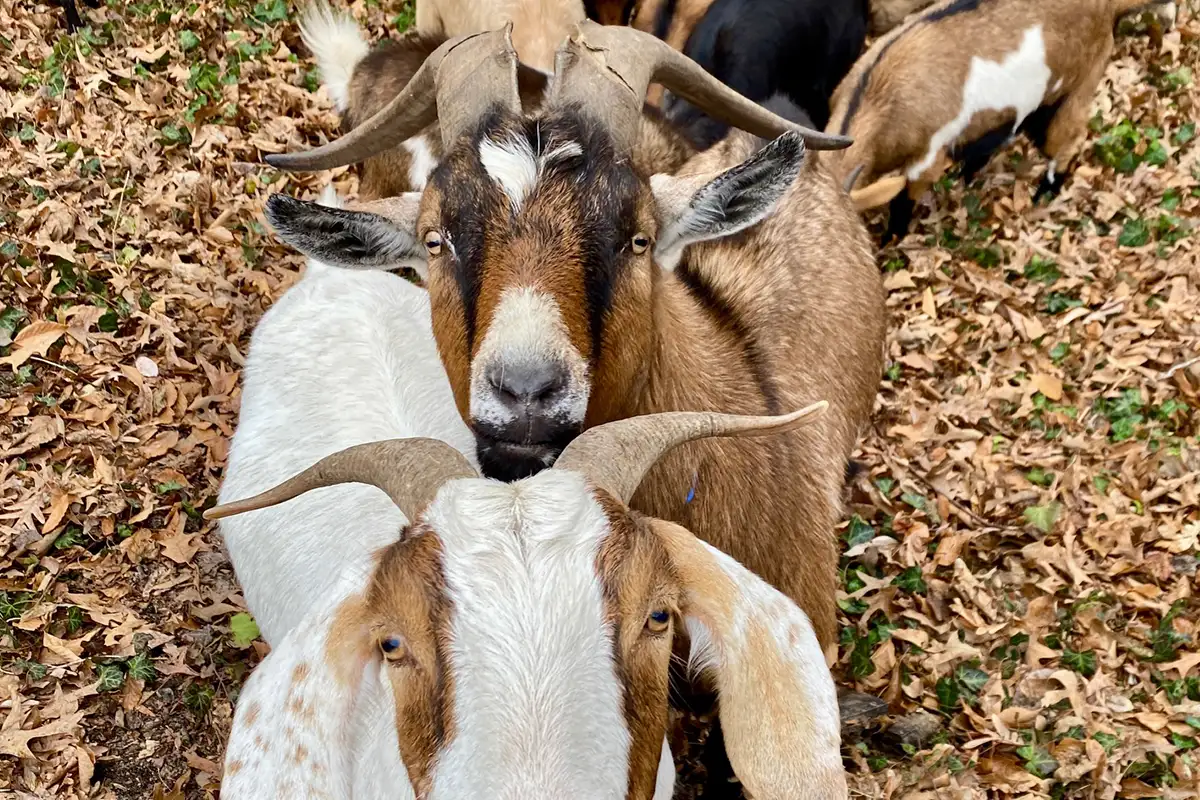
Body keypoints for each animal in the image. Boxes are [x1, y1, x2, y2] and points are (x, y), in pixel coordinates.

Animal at [827, 0, 1180, 240]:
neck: (878, 96)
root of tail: (1108, 7)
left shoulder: (927, 156)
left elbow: (904, 199)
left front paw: (893, 238)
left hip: (1080, 80)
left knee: (1068, 137)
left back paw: (1046, 190)